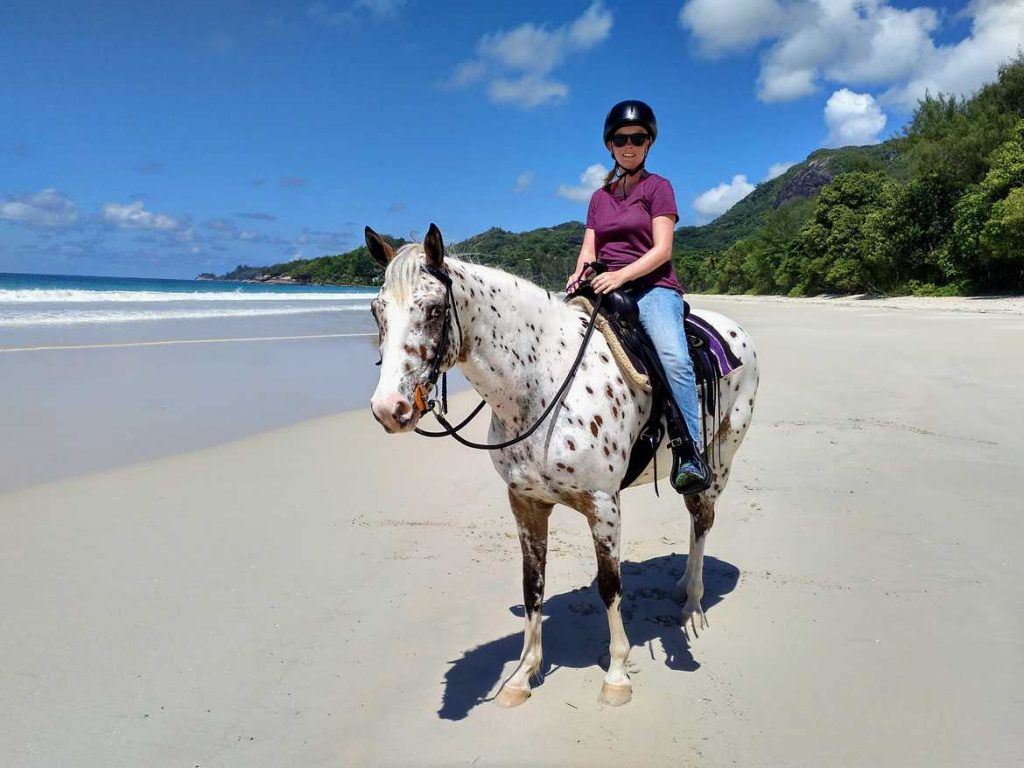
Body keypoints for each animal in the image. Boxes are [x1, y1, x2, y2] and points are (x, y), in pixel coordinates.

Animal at [364, 224, 757, 708]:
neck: (545, 382)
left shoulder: (604, 504)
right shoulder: (525, 502)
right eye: (376, 310)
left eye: (435, 309)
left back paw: (693, 607)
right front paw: (521, 675)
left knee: (702, 520)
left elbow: (610, 585)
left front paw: (617, 674)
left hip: (719, 461)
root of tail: (734, 330)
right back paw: (684, 586)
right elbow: (532, 584)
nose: (389, 409)